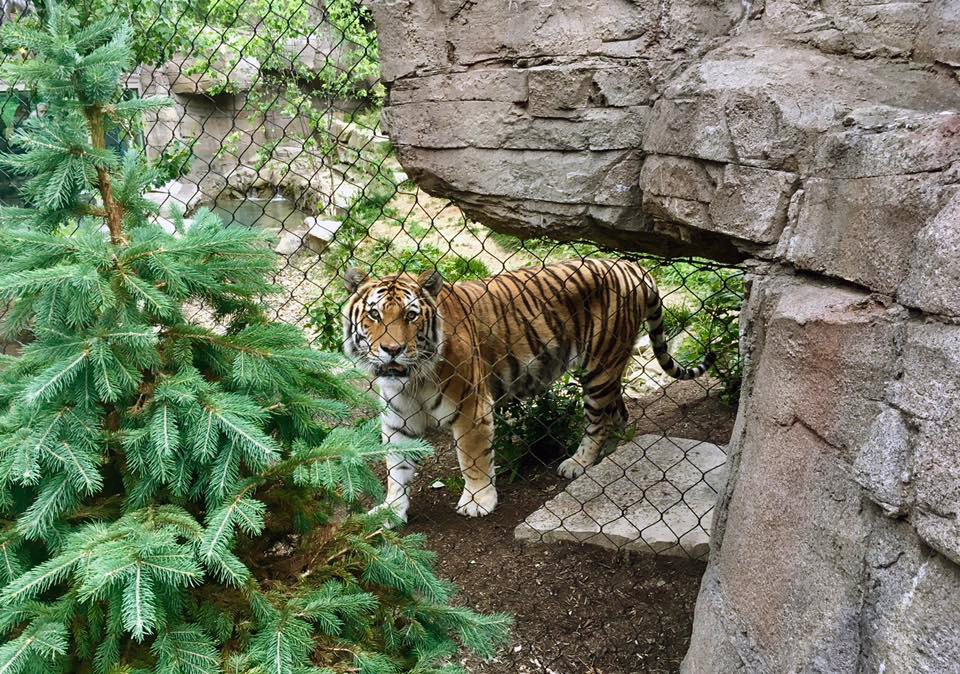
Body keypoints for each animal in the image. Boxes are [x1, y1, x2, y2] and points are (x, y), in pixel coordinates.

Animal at [342, 258, 715, 523]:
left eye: (411, 316)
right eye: (374, 315)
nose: (391, 350)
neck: (413, 378)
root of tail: (632, 265)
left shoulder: (472, 407)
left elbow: (473, 459)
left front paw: (478, 501)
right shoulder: (397, 420)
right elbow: (396, 470)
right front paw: (391, 510)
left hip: (599, 367)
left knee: (598, 420)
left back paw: (579, 463)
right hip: (609, 369)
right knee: (619, 411)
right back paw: (617, 447)